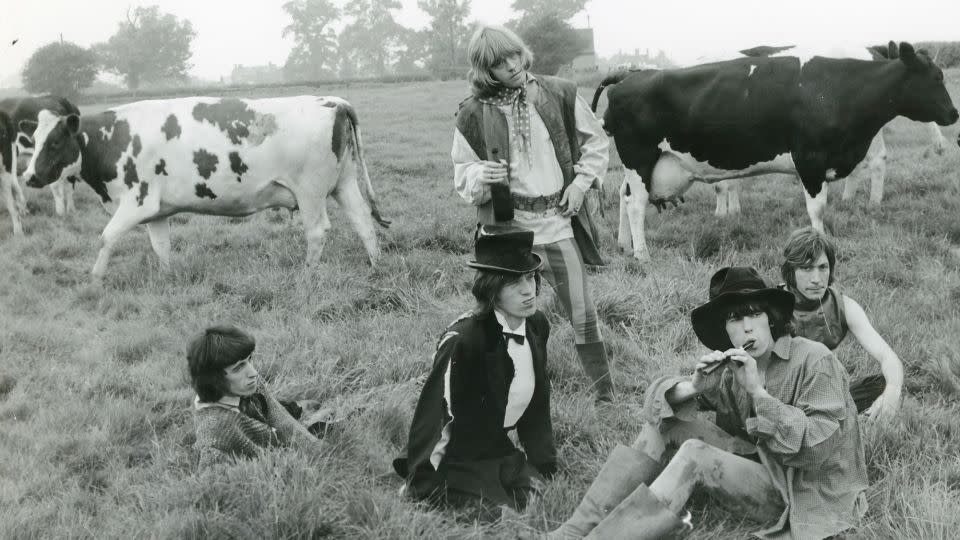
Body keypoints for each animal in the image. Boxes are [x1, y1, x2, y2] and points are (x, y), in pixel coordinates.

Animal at [21, 96, 390, 278]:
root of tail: (331, 101)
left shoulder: (137, 201)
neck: (112, 138)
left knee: (317, 232)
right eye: (34, 140)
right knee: (363, 220)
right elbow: (161, 247)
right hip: (344, 182)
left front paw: (95, 280)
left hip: (310, 191)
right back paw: (376, 266)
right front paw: (168, 278)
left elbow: (106, 237)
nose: (29, 177)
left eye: (54, 142)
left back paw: (308, 274)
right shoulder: (157, 210)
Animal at [596, 41, 956, 260]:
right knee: (635, 204)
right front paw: (819, 248)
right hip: (639, 156)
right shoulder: (809, 159)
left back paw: (624, 245)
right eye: (936, 77)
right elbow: (817, 210)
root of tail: (628, 77)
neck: (836, 87)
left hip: (642, 165)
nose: (954, 113)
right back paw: (642, 254)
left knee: (624, 196)